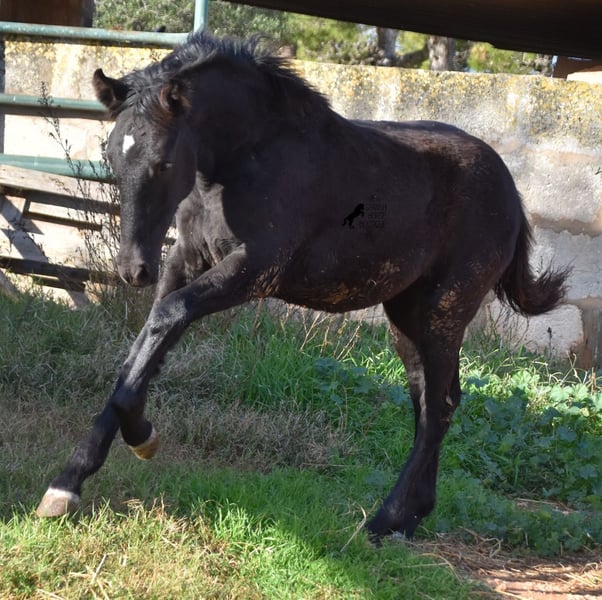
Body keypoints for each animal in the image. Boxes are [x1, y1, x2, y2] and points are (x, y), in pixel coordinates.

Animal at [36, 32, 568, 540]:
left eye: (164, 162)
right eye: (111, 154)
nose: (133, 269)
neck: (249, 158)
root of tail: (510, 192)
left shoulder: (256, 269)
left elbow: (165, 321)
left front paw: (141, 437)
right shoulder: (184, 262)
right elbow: (140, 352)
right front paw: (67, 484)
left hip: (445, 308)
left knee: (439, 406)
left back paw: (384, 521)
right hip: (406, 313)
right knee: (427, 401)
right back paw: (411, 519)